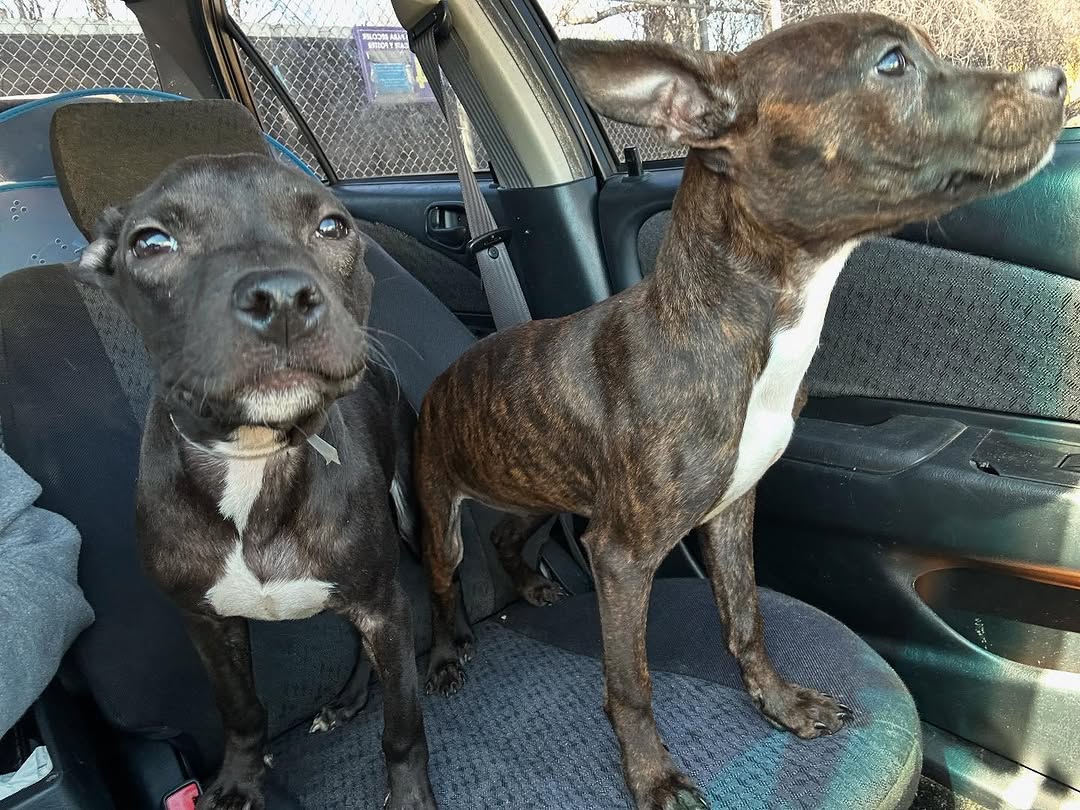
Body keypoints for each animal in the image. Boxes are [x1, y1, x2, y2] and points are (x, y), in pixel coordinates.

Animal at [72, 153, 438, 810]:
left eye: (333, 227)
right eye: (151, 242)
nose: (282, 298)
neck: (253, 456)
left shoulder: (385, 606)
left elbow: (402, 726)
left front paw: (411, 797)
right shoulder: (207, 622)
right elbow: (241, 711)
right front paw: (239, 782)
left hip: (410, 515)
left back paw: (452, 651)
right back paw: (347, 701)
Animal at [412, 14, 1062, 810]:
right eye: (891, 63)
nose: (1057, 81)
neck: (734, 330)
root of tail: (443, 379)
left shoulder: (729, 513)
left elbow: (747, 620)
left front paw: (780, 705)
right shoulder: (621, 557)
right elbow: (630, 684)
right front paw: (652, 777)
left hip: (538, 486)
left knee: (509, 535)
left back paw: (532, 583)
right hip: (441, 510)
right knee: (443, 583)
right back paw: (446, 655)